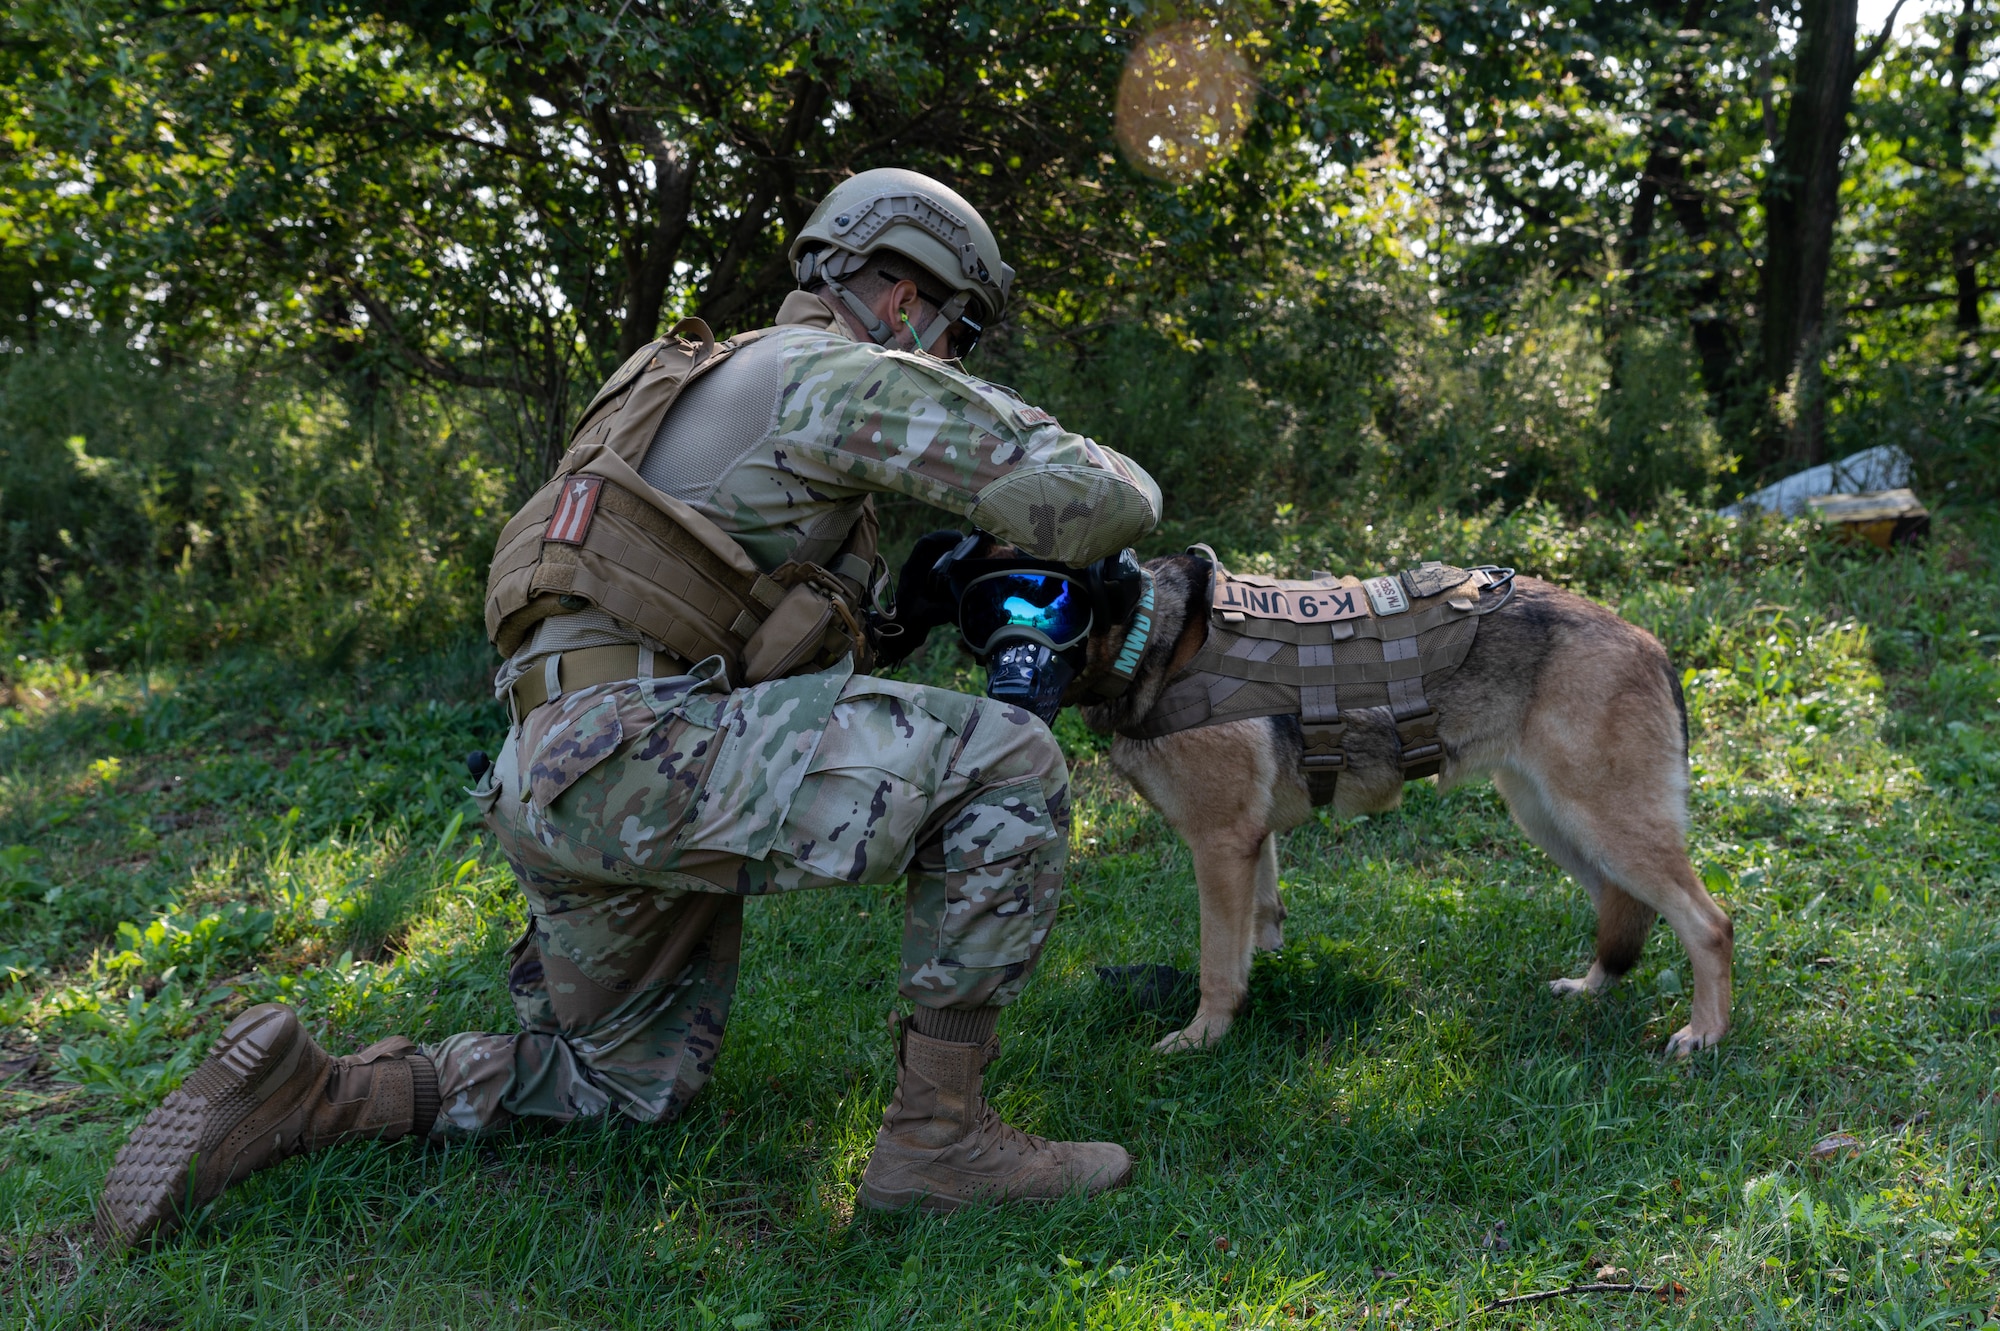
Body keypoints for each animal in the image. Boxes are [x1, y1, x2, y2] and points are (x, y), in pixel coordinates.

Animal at [1080, 555, 1736, 1055]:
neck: (1149, 632)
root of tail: (1651, 645)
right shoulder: (1249, 844)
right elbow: (1257, 934)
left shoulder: (1218, 847)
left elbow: (1216, 965)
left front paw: (1203, 1038)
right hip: (1553, 822)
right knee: (1625, 910)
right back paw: (1591, 990)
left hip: (1603, 827)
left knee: (1710, 925)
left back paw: (1704, 1034)